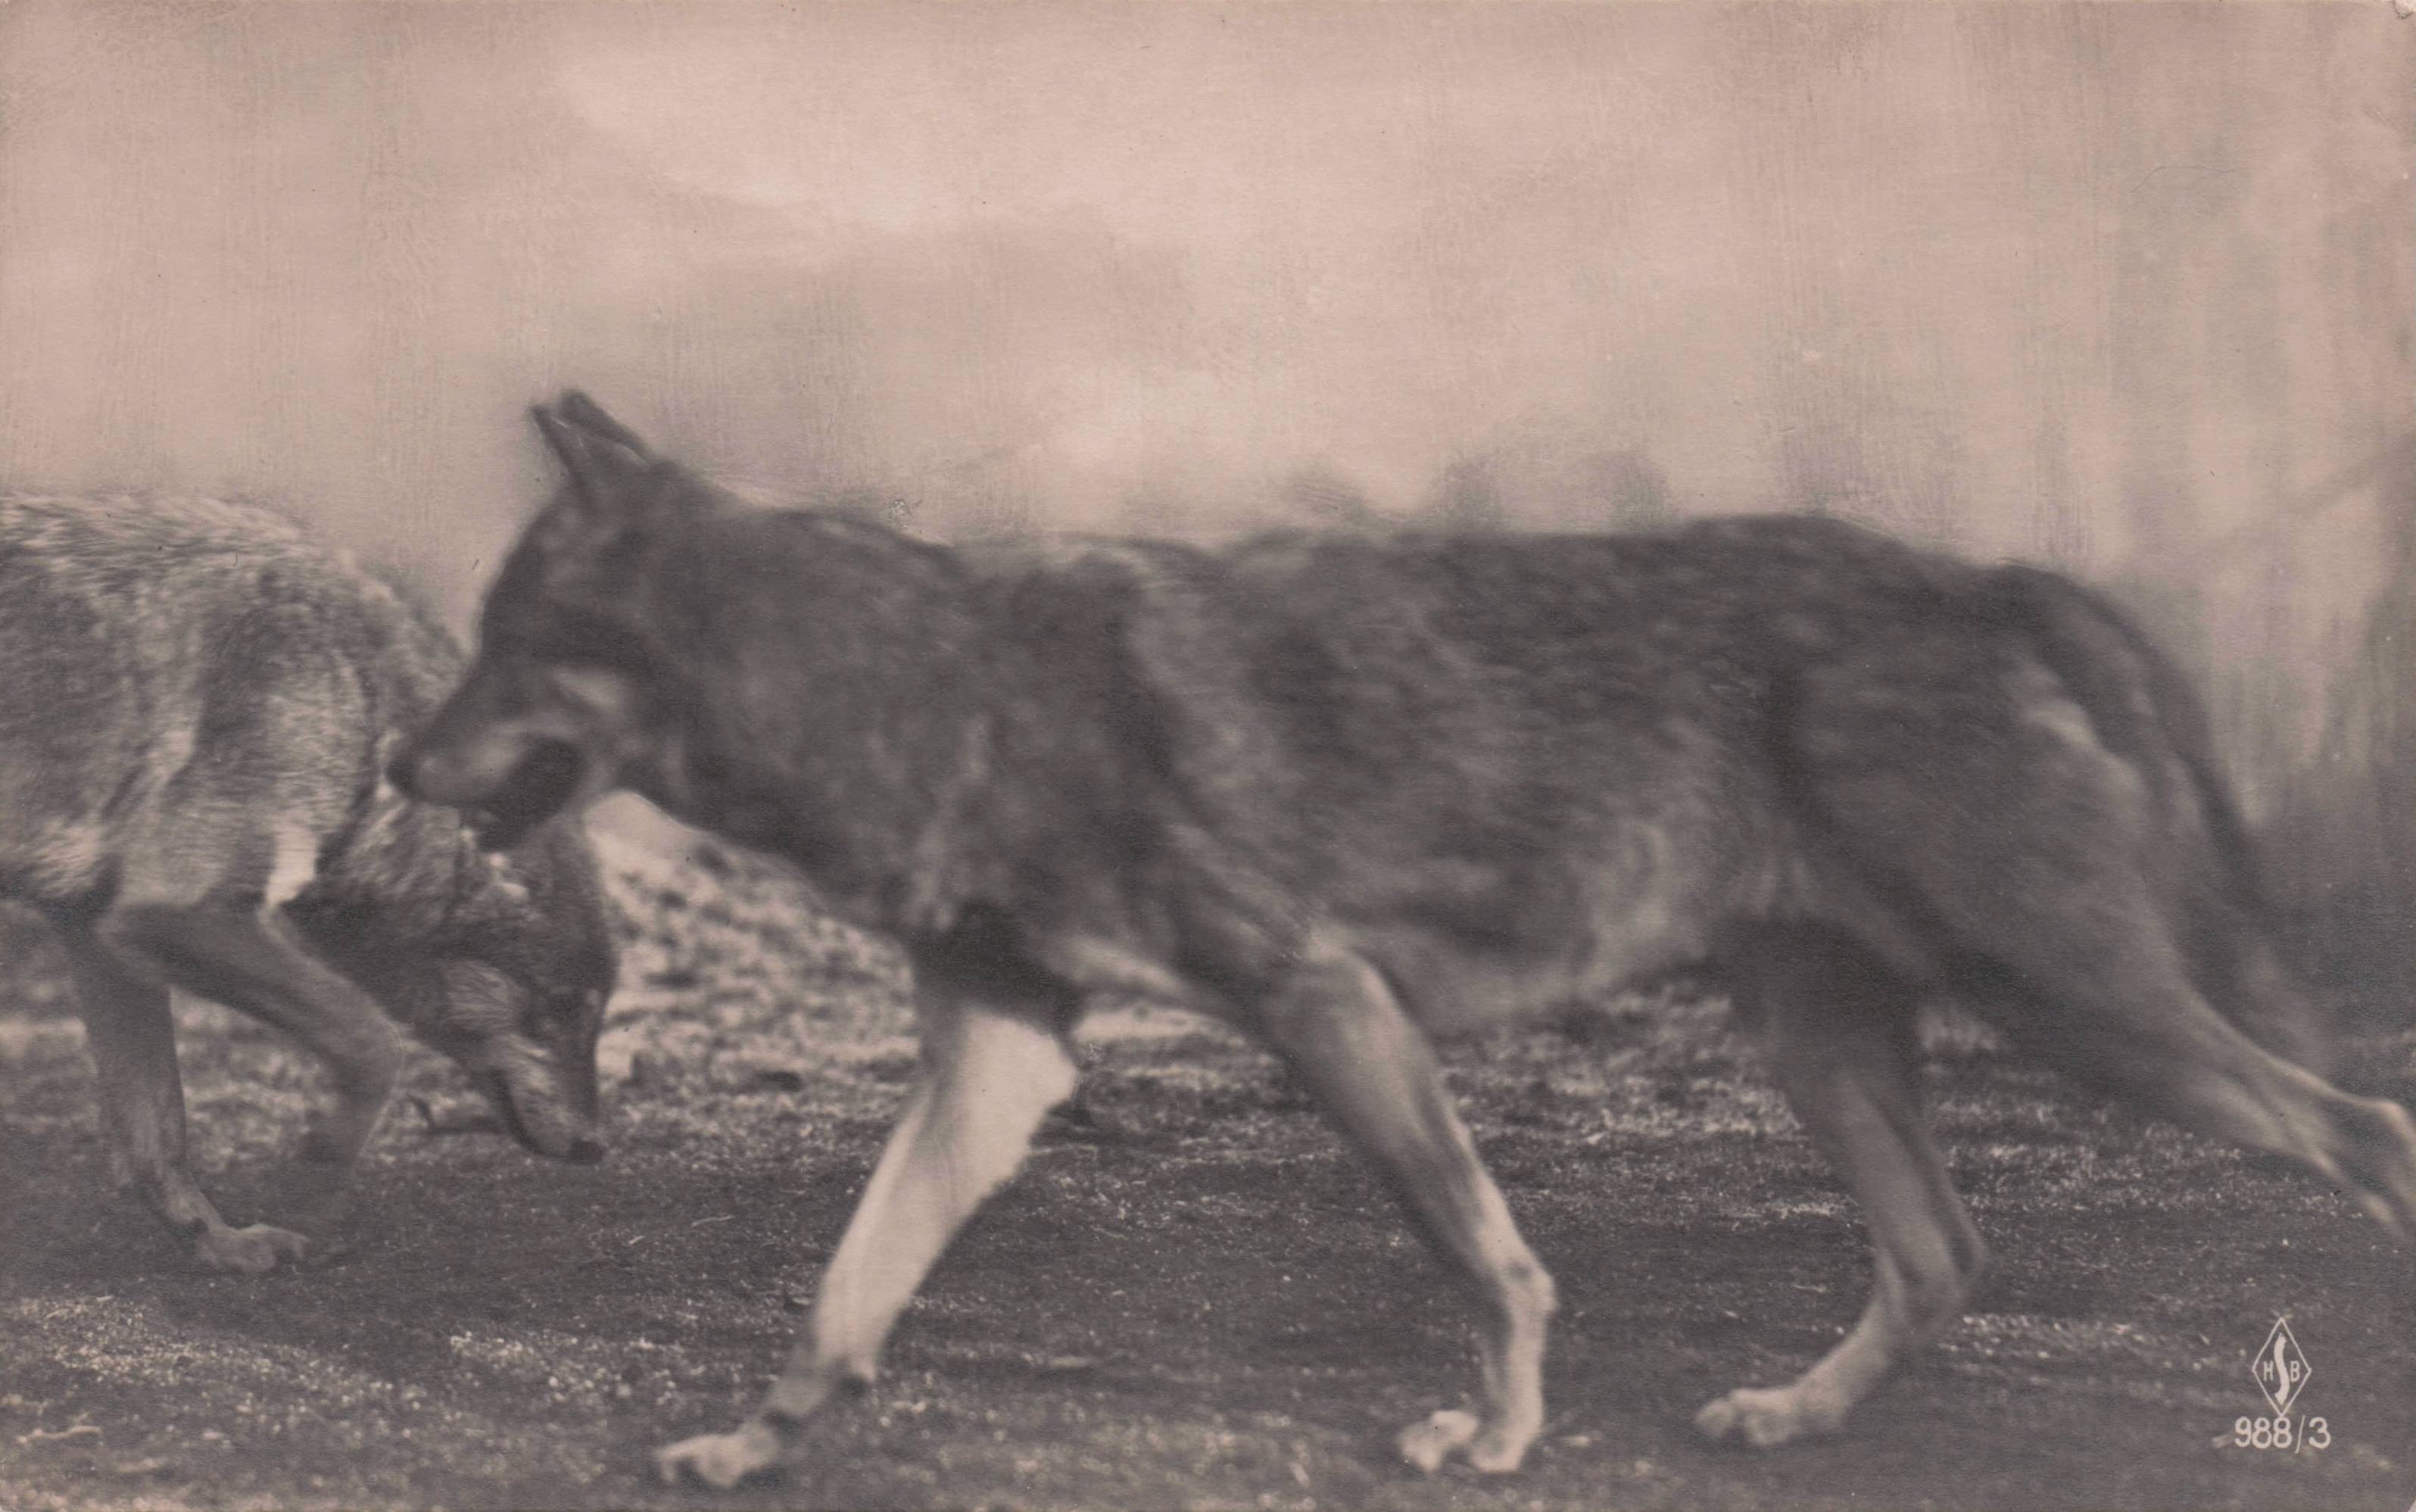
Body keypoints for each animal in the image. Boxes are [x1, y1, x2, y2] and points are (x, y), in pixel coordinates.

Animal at [0, 492, 617, 1274]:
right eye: (563, 1009)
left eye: (592, 1014)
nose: (597, 1146)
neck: (357, 687)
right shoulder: (173, 912)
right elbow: (373, 1043)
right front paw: (317, 1179)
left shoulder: (96, 931)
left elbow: (159, 1136)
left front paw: (222, 1246)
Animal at [393, 393, 2416, 1486]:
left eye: (500, 653)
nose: (398, 762)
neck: (921, 684)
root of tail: (1985, 575)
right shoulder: (1001, 1063)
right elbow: (839, 1295)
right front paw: (753, 1446)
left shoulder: (1325, 1006)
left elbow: (1486, 1258)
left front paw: (1498, 1440)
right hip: (1831, 1040)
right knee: (1944, 1254)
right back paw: (1787, 1414)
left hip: (2077, 1013)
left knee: (2365, 1133)